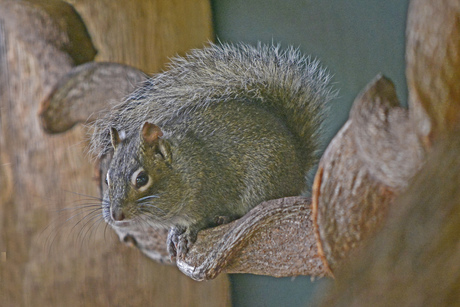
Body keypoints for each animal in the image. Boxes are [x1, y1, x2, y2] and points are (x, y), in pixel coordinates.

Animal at [90, 42, 334, 260]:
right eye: (107, 180)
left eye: (141, 179)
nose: (116, 215)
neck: (184, 167)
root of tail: (298, 160)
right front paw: (173, 233)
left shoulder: (210, 191)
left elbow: (200, 219)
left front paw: (188, 233)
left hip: (265, 182)